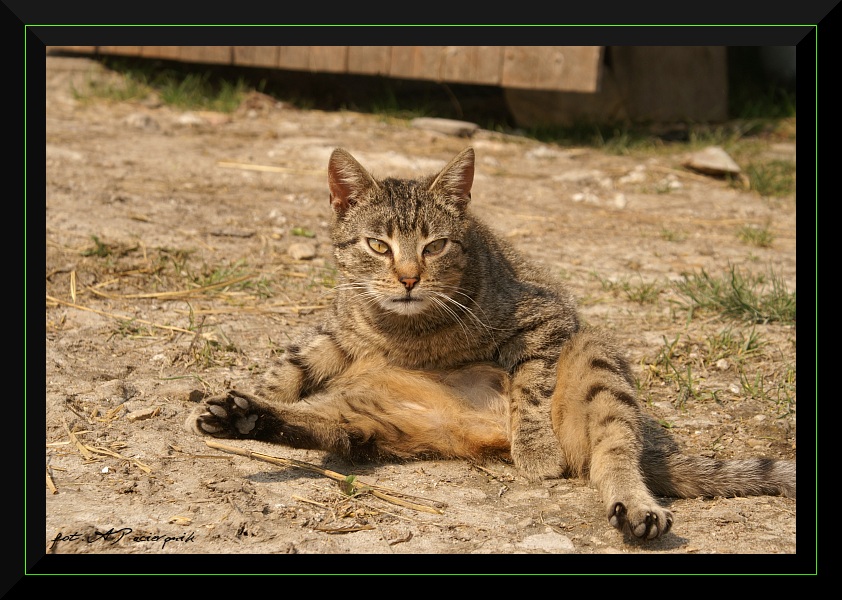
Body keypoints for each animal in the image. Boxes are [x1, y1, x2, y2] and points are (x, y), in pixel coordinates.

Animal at [187, 148, 796, 540]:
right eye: (378, 246)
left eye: (434, 246)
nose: (407, 279)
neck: (408, 333)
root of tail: (472, 433)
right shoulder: (338, 331)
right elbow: (290, 367)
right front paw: (249, 391)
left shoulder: (547, 320)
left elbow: (529, 390)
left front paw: (536, 448)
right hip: (364, 416)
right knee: (323, 428)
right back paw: (243, 416)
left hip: (597, 359)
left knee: (615, 451)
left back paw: (632, 504)